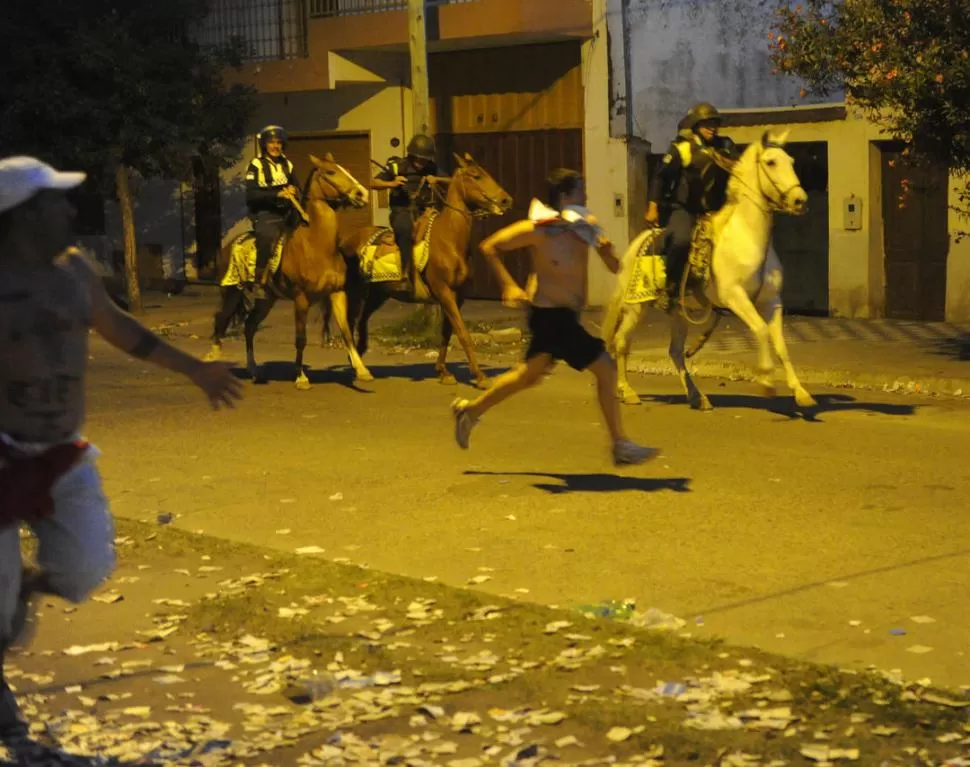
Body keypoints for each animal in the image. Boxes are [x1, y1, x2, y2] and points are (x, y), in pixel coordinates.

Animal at [208, 154, 374, 390]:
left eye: (347, 170)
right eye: (330, 172)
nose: (362, 194)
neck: (316, 245)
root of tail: (226, 246)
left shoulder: (337, 293)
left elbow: (347, 333)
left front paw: (362, 371)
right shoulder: (301, 299)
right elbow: (300, 338)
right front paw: (301, 377)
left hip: (266, 299)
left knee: (249, 326)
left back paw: (255, 372)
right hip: (231, 291)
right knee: (221, 319)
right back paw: (212, 356)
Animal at [336, 152, 510, 388]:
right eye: (476, 175)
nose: (506, 200)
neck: (449, 240)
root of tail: (349, 239)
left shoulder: (458, 296)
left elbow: (447, 332)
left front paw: (443, 372)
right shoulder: (444, 291)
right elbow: (463, 333)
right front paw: (480, 376)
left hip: (378, 294)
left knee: (362, 320)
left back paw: (361, 357)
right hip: (356, 292)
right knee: (350, 321)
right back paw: (356, 364)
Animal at [600, 128, 812, 412]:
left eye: (790, 160)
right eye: (770, 162)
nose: (800, 201)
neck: (748, 237)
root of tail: (637, 243)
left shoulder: (772, 302)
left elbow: (780, 344)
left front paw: (801, 392)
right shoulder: (735, 297)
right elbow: (761, 331)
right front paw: (766, 381)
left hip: (677, 312)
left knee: (675, 352)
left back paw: (697, 397)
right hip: (636, 307)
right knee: (621, 342)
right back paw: (627, 391)